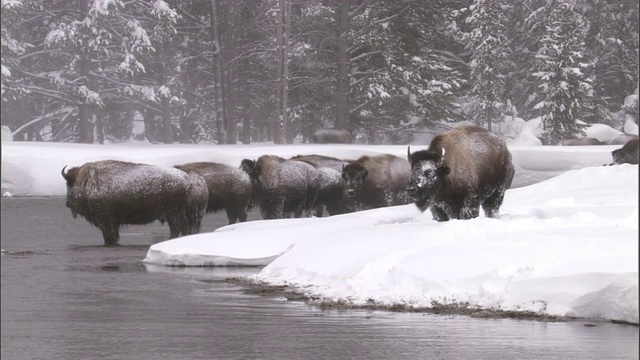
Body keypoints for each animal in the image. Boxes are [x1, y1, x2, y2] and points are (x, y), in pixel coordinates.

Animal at [60, 160, 208, 246]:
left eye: (68, 184)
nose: (67, 203)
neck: (88, 181)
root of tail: (188, 180)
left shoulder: (106, 220)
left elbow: (109, 236)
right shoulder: (113, 222)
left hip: (174, 215)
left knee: (177, 229)